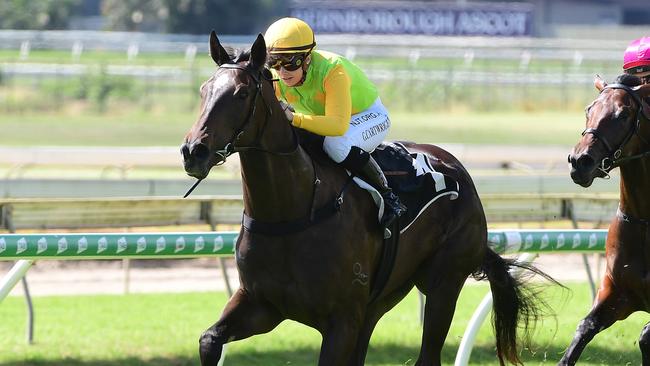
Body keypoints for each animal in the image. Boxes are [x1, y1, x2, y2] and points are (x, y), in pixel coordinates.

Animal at [181, 32, 548, 366]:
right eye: (203, 90)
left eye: (242, 93)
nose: (193, 152)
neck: (292, 212)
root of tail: (457, 169)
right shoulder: (263, 305)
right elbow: (208, 339)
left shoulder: (342, 321)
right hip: (382, 299)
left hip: (444, 283)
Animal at [560, 73, 648, 364]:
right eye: (589, 109)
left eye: (623, 114)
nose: (580, 161)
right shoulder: (617, 292)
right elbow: (584, 328)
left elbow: (645, 335)